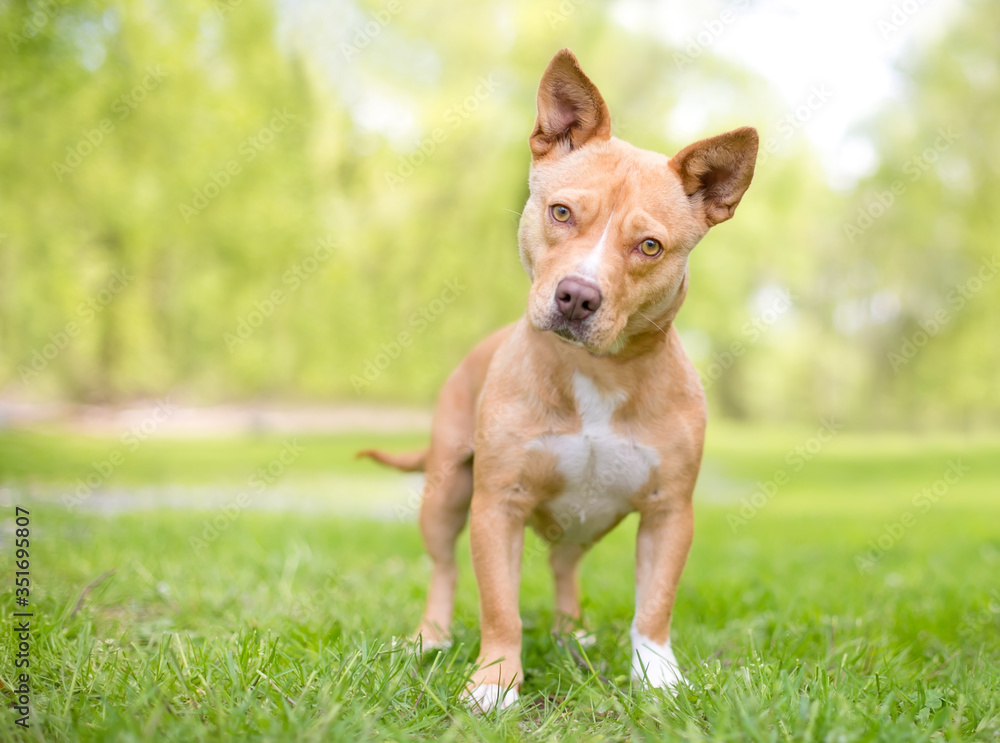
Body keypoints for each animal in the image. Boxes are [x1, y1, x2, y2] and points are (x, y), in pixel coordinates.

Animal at [360, 48, 756, 716]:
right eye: (562, 213)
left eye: (650, 246)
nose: (577, 295)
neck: (596, 371)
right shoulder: (498, 504)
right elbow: (499, 607)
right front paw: (494, 683)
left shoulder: (669, 512)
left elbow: (654, 607)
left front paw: (658, 678)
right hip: (445, 494)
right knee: (443, 569)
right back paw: (430, 638)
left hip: (583, 520)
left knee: (566, 566)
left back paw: (573, 635)